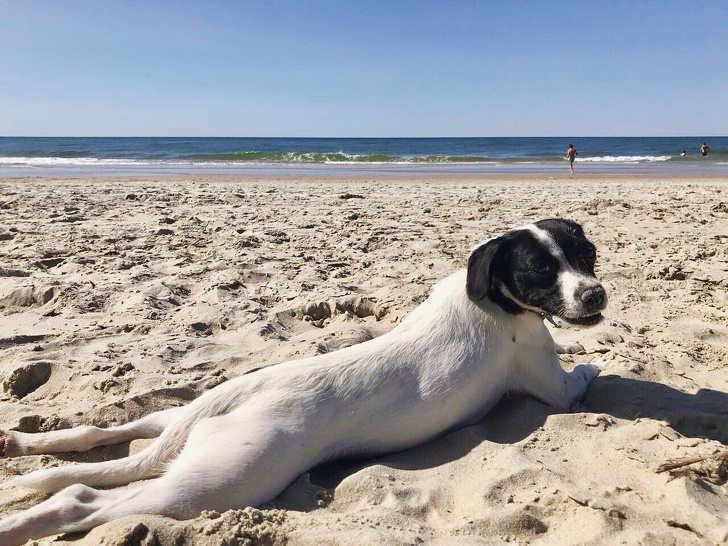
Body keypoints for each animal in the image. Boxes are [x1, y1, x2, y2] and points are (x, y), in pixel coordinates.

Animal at [0, 218, 604, 544]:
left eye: (587, 254)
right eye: (538, 271)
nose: (596, 294)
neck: (491, 297)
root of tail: (223, 400)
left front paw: (579, 342)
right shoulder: (551, 387)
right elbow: (577, 377)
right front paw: (591, 359)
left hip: (171, 422)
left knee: (96, 439)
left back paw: (23, 443)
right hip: (220, 482)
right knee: (84, 499)